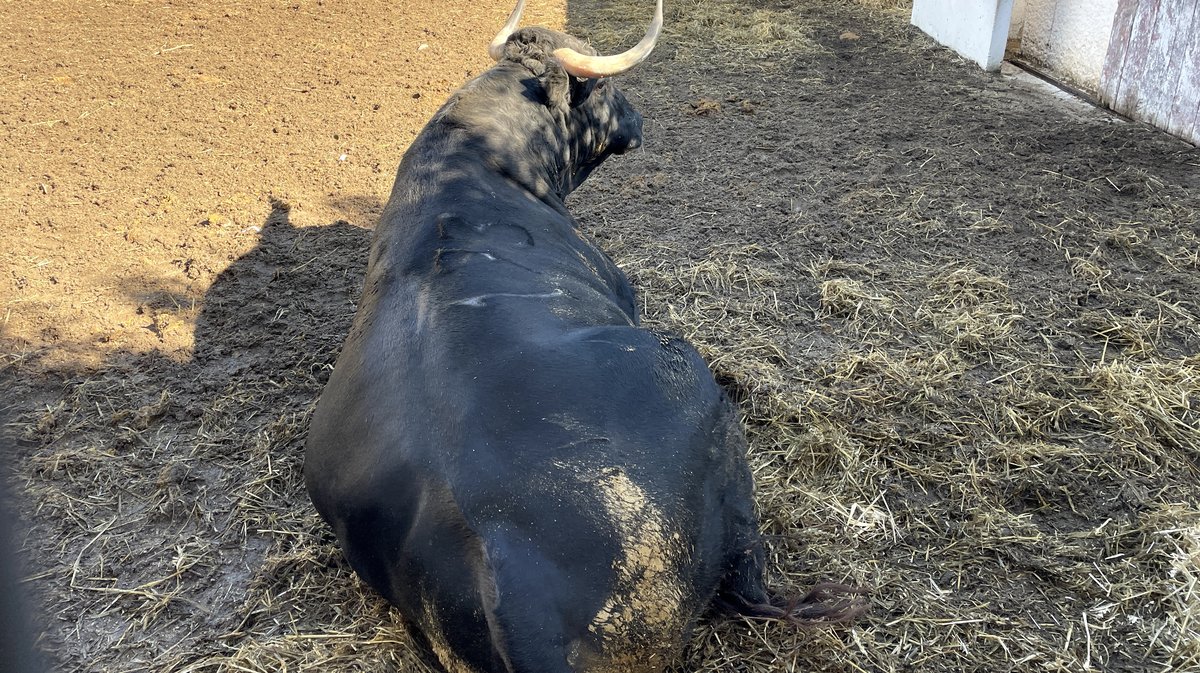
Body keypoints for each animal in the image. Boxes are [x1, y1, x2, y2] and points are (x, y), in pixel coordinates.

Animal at [300, 20, 864, 671]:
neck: (479, 158)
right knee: (748, 576)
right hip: (695, 394)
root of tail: (505, 555)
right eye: (606, 89)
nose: (639, 120)